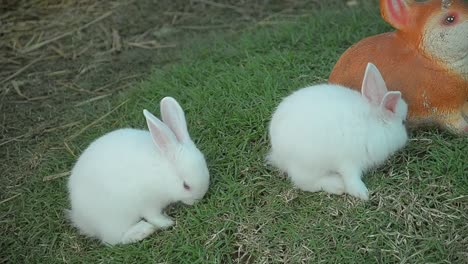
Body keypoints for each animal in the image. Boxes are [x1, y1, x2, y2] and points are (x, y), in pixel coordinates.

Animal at [67, 96, 210, 244]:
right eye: (186, 186)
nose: (198, 199)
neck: (163, 175)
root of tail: (80, 218)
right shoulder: (148, 203)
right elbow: (153, 216)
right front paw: (167, 222)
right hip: (116, 216)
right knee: (114, 239)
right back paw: (143, 230)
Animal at [268, 63, 408, 200]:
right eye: (403, 122)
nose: (406, 139)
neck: (372, 123)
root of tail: (277, 154)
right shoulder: (350, 161)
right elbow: (352, 179)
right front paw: (363, 194)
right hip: (308, 165)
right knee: (305, 182)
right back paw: (337, 185)